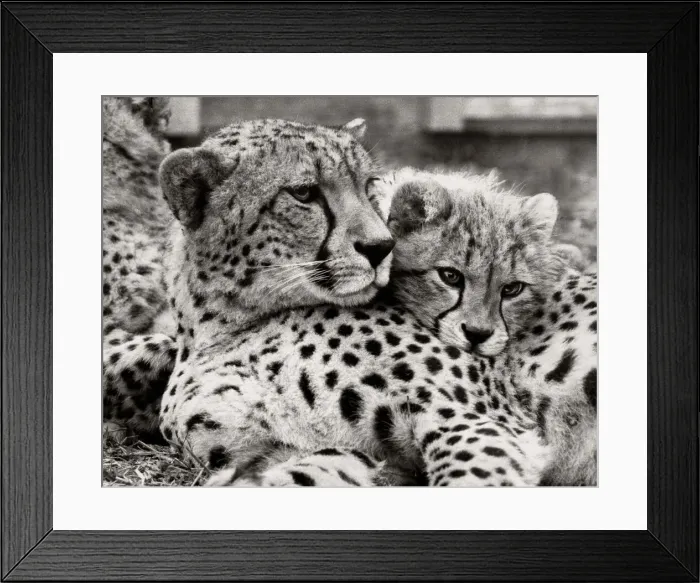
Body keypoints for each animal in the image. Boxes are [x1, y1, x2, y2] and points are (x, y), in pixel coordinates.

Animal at [155, 119, 558, 489]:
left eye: (368, 186)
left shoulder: (474, 420)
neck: (225, 324)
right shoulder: (306, 452)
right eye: (304, 193)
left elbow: (470, 475)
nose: (381, 246)